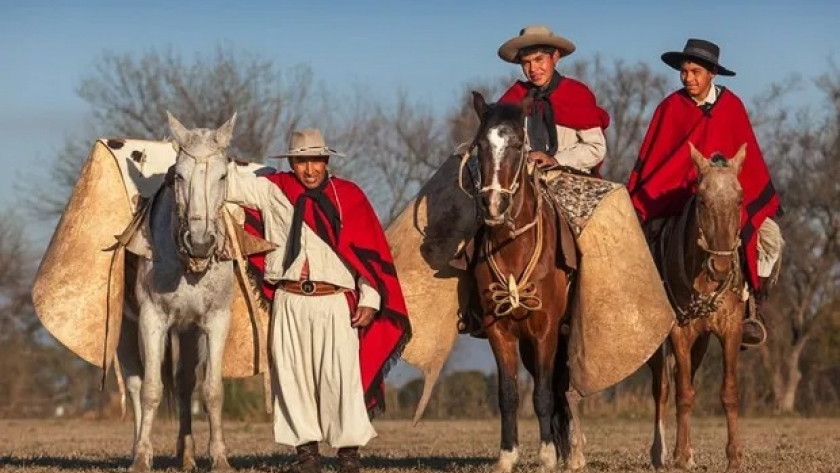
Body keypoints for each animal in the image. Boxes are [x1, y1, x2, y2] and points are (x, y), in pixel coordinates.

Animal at [117, 110, 240, 468]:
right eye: (179, 176)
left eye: (223, 175)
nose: (199, 244)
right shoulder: (152, 320)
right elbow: (151, 389)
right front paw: (142, 459)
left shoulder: (216, 321)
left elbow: (212, 390)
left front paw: (220, 458)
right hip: (127, 329)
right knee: (135, 383)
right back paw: (138, 448)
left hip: (187, 331)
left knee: (185, 384)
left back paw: (187, 454)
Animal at [470, 92, 580, 472]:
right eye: (479, 146)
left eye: (518, 144)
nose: (493, 204)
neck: (514, 249)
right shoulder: (499, 331)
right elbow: (508, 393)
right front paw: (507, 455)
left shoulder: (545, 331)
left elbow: (544, 394)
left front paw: (546, 455)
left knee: (560, 388)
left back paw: (571, 454)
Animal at [644, 143, 748, 468]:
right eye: (702, 200)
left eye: (739, 199)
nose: (721, 267)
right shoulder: (680, 331)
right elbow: (682, 394)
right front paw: (678, 456)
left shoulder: (730, 329)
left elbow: (729, 392)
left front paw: (734, 457)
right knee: (663, 388)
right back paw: (660, 453)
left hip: (700, 342)